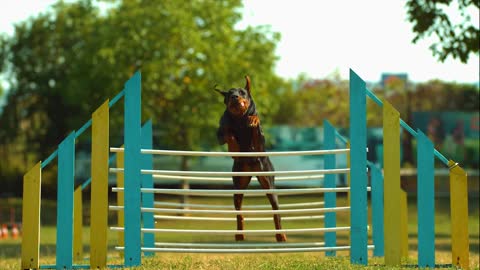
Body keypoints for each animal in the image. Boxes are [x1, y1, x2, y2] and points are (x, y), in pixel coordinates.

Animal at [216, 75, 286, 242]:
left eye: (242, 92)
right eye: (229, 93)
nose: (235, 97)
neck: (240, 119)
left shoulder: (259, 140)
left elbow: (255, 127)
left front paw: (253, 119)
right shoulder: (220, 133)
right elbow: (227, 131)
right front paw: (234, 146)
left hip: (269, 183)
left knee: (276, 212)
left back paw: (281, 235)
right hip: (238, 186)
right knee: (239, 213)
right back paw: (239, 234)